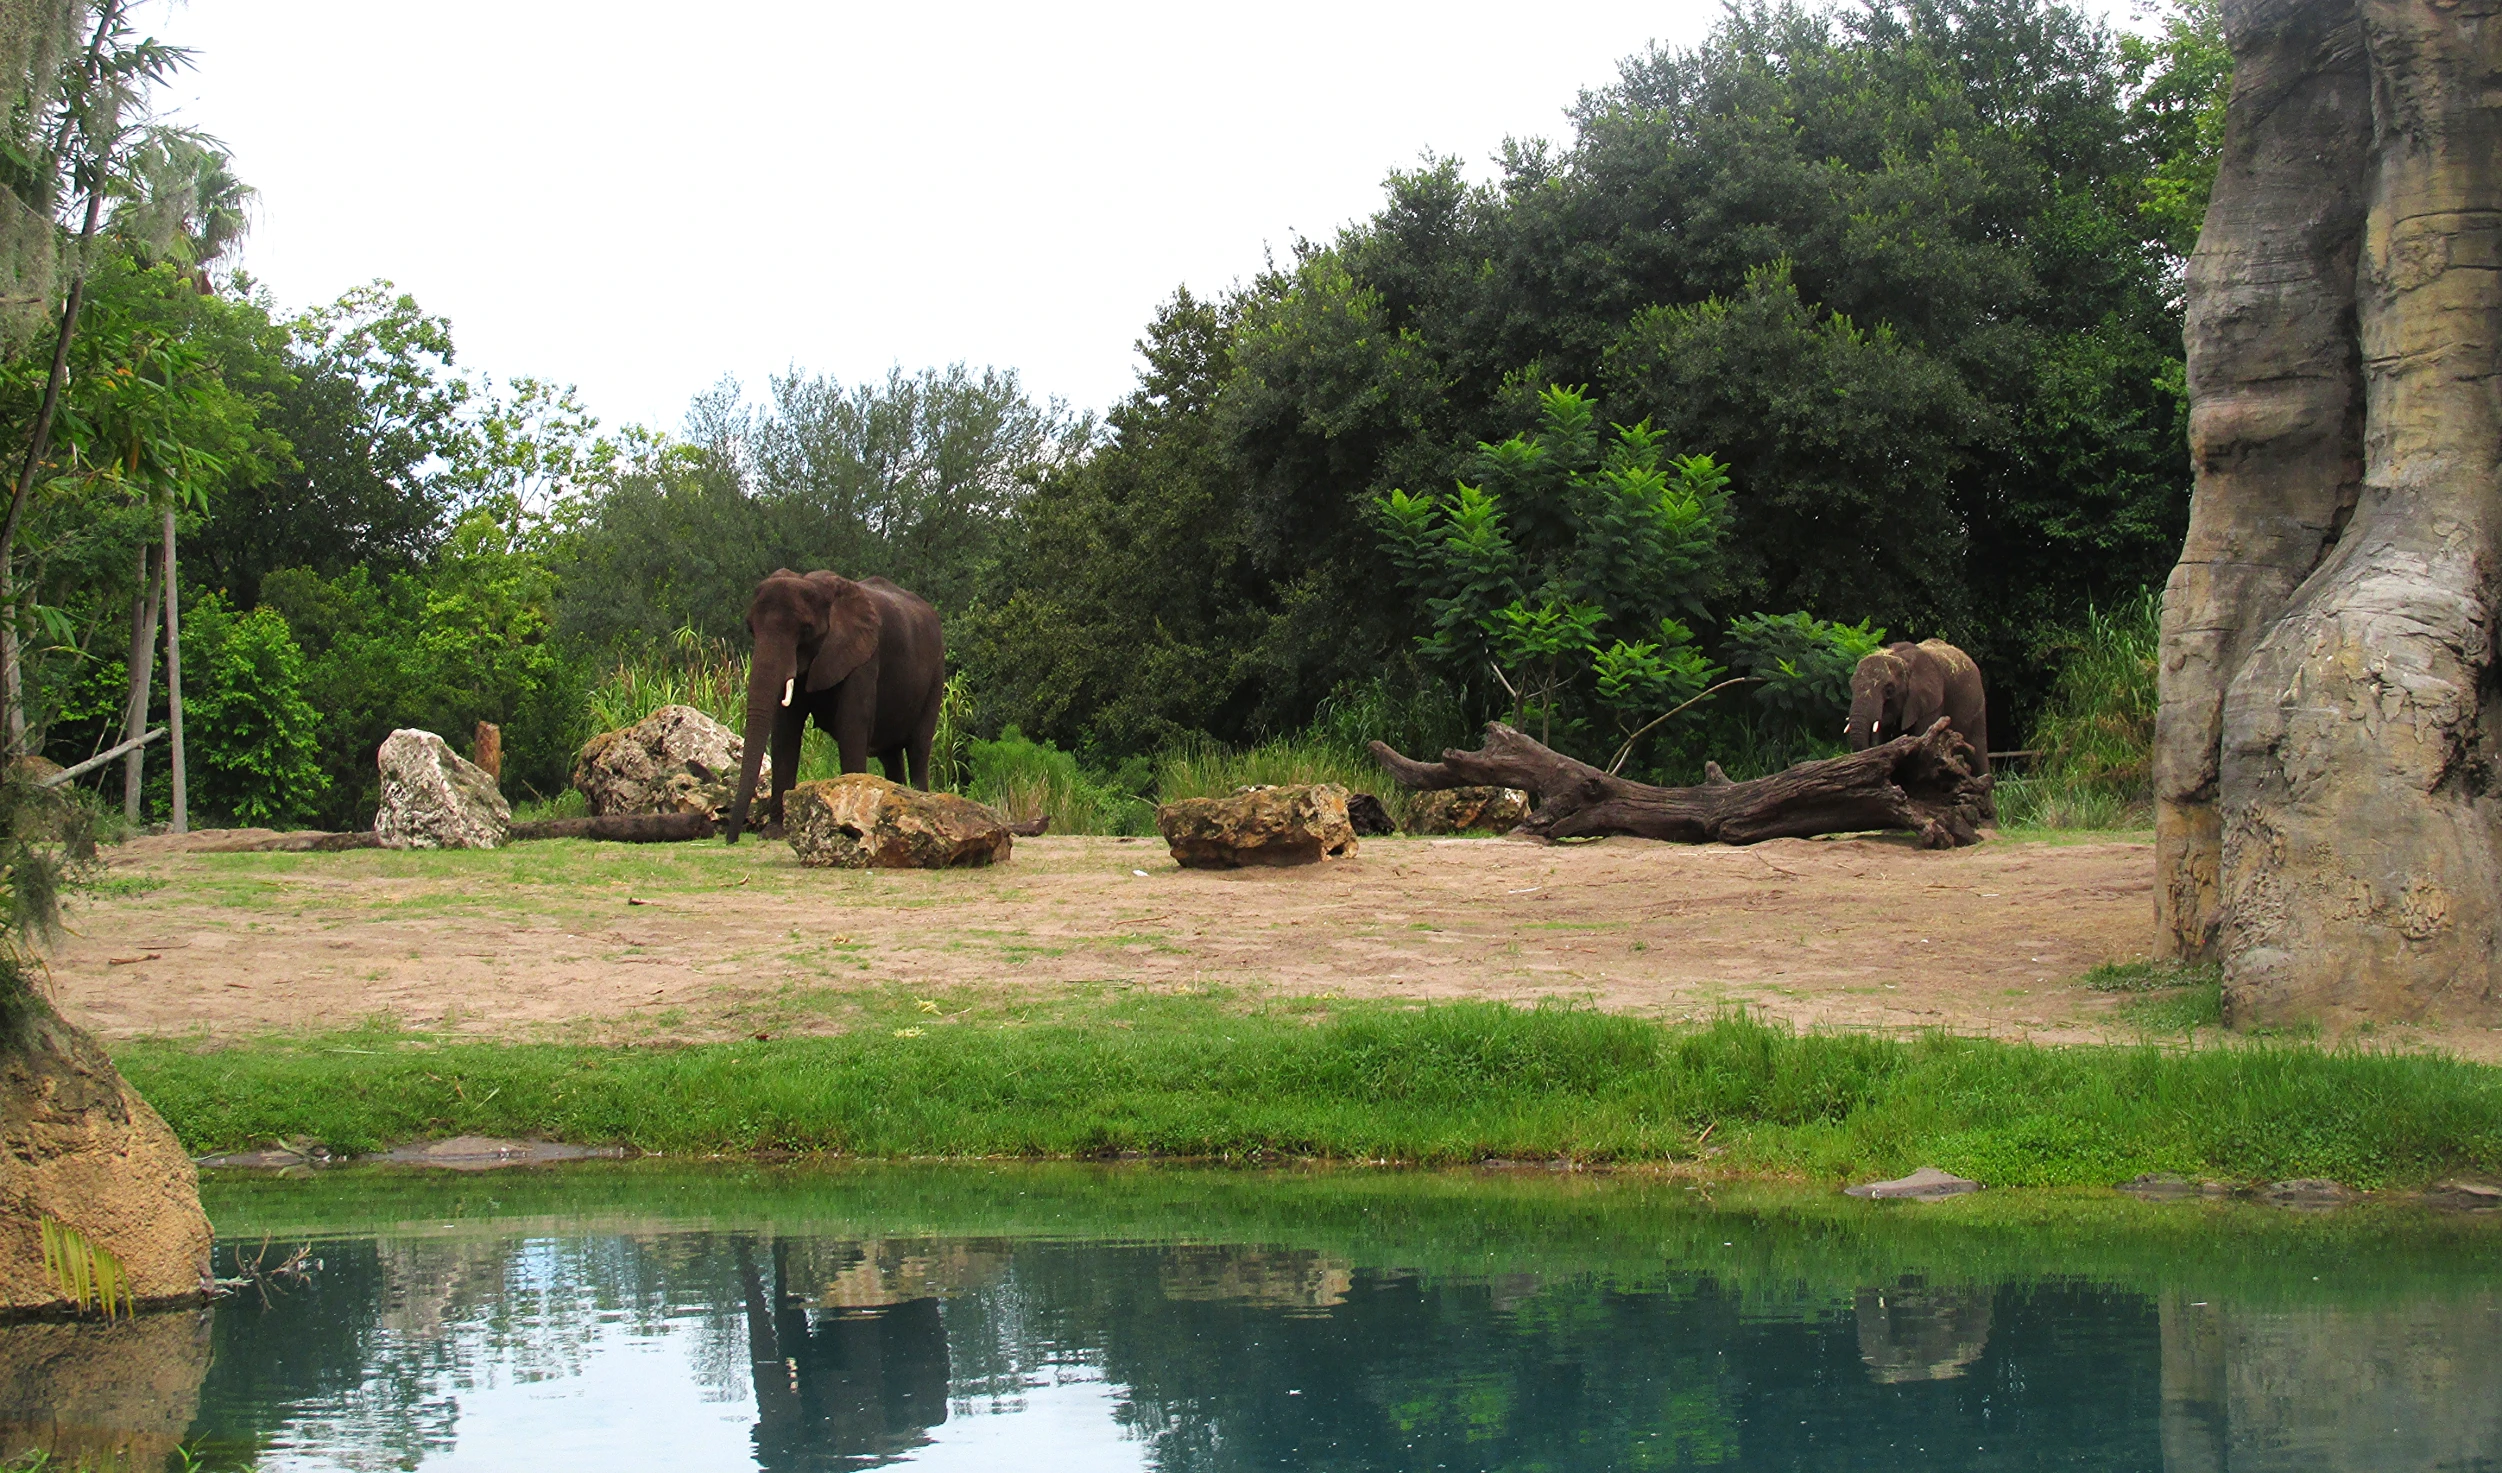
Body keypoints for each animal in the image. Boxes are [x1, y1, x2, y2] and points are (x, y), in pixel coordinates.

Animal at [730, 565, 955, 840]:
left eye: (806, 629)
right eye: (751, 629)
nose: (731, 839)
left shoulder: (864, 655)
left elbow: (851, 727)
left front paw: (846, 828)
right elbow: (785, 732)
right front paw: (775, 832)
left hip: (936, 674)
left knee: (918, 749)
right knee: (890, 755)